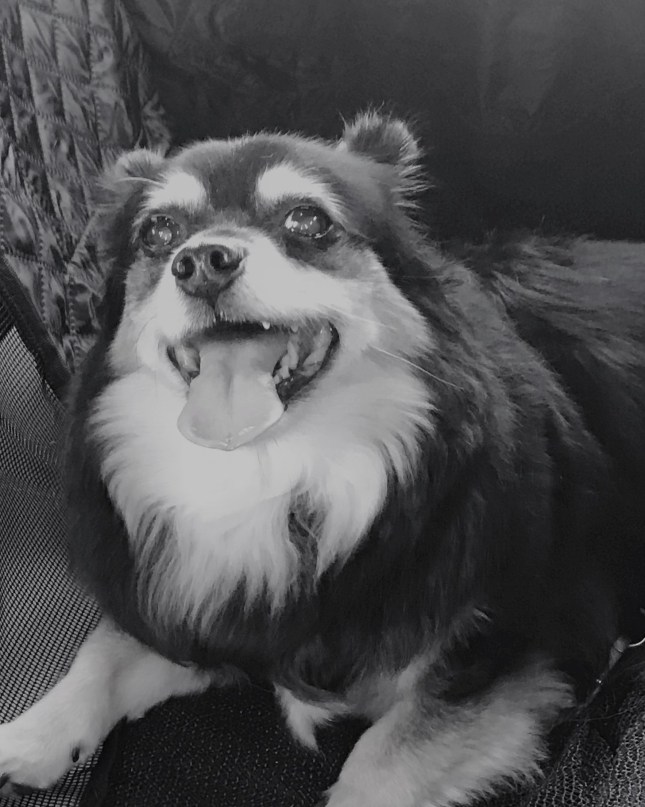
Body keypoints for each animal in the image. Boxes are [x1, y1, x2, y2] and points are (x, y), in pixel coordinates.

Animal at [1, 111, 645, 806]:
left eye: (307, 220)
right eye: (158, 231)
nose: (200, 262)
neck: (270, 470)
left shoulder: (532, 646)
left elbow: (382, 762)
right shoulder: (204, 613)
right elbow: (105, 652)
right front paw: (30, 740)